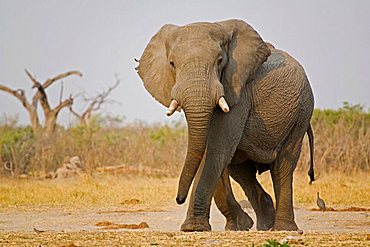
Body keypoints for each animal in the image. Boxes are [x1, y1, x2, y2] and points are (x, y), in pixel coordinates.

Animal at [136, 19, 316, 232]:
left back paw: (283, 228)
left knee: (284, 164)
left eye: (220, 61)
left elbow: (216, 150)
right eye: (172, 64)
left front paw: (194, 228)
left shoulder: (238, 92)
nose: (179, 199)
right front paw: (238, 225)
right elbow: (213, 153)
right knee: (241, 171)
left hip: (302, 111)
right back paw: (263, 225)